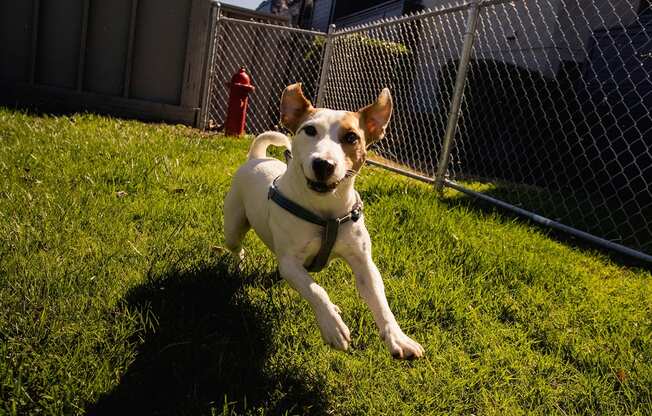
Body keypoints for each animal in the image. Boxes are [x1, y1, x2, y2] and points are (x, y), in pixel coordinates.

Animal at [224, 83, 426, 360]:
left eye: (351, 137)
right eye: (310, 130)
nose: (323, 164)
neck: (325, 213)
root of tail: (256, 158)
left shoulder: (364, 264)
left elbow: (381, 303)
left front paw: (399, 338)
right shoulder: (290, 263)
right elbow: (316, 290)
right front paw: (333, 327)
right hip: (232, 228)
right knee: (237, 247)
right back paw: (239, 263)